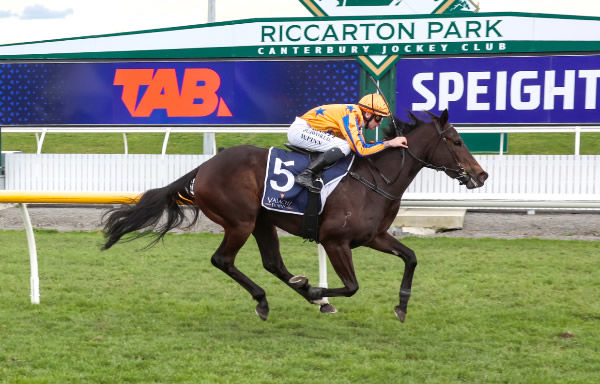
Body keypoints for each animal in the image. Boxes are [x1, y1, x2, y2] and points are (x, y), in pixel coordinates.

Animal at [102, 109, 488, 322]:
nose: (481, 174)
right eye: (456, 141)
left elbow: (411, 257)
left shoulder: (373, 237)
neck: (377, 180)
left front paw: (402, 305)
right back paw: (271, 299)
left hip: (262, 222)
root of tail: (206, 166)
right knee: (223, 260)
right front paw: (319, 290)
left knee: (273, 263)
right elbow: (352, 286)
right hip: (240, 222)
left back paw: (303, 292)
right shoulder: (334, 241)